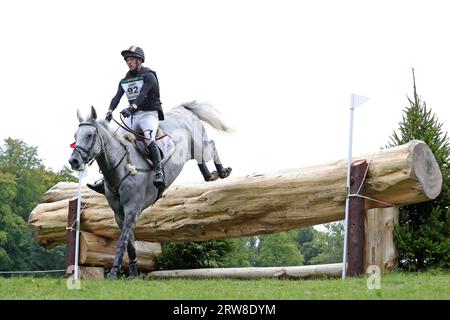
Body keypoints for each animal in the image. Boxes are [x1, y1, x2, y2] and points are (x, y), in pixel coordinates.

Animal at [69, 101, 236, 278]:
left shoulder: (132, 209)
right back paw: (209, 175)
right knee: (201, 160)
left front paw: (114, 272)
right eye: (75, 136)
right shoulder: (119, 213)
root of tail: (182, 109)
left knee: (212, 145)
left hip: (199, 145)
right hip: (193, 151)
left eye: (89, 135)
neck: (122, 169)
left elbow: (122, 241)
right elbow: (130, 243)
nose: (74, 161)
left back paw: (222, 171)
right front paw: (134, 273)